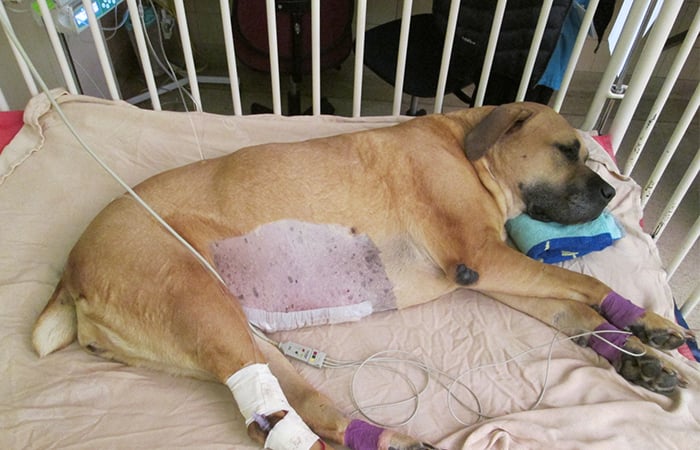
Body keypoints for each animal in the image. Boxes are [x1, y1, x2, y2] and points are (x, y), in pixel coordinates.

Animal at [31, 103, 688, 450]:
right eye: (566, 150)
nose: (611, 193)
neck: (467, 146)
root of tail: (70, 271)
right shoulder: (480, 257)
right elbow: (590, 286)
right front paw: (652, 321)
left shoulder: (490, 271)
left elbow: (573, 310)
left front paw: (636, 350)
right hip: (197, 296)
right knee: (299, 410)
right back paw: (389, 440)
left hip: (229, 334)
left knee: (279, 407)